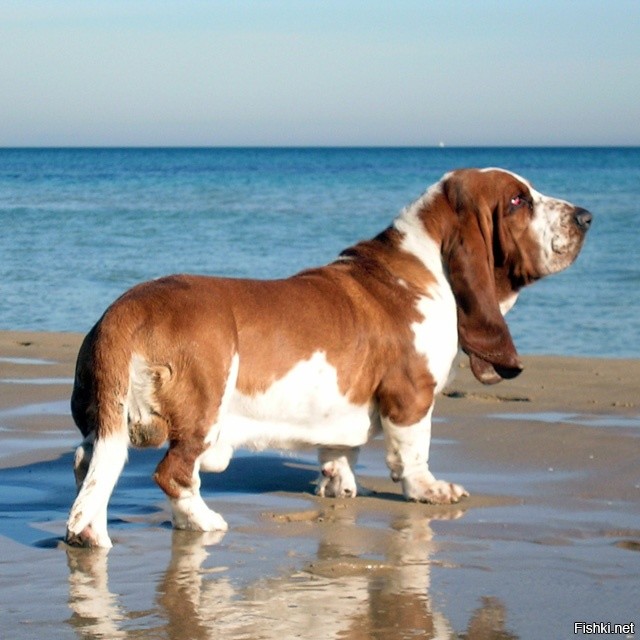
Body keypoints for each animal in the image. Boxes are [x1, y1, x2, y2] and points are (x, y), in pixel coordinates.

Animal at [65, 168, 592, 548]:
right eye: (518, 200)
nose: (585, 216)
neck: (425, 267)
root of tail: (127, 310)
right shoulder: (411, 394)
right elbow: (413, 451)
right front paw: (430, 490)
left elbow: (338, 451)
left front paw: (338, 486)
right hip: (203, 411)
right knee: (171, 473)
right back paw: (203, 520)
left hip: (107, 421)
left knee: (88, 466)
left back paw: (88, 534)